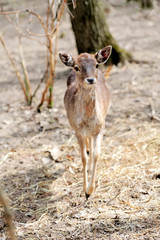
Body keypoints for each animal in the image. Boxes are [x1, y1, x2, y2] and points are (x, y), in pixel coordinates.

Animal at [59, 45, 112, 199]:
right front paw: (84, 190)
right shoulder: (77, 130)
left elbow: (96, 154)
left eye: (96, 64)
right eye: (77, 67)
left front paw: (90, 190)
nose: (90, 79)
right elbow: (82, 157)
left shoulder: (100, 127)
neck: (87, 120)